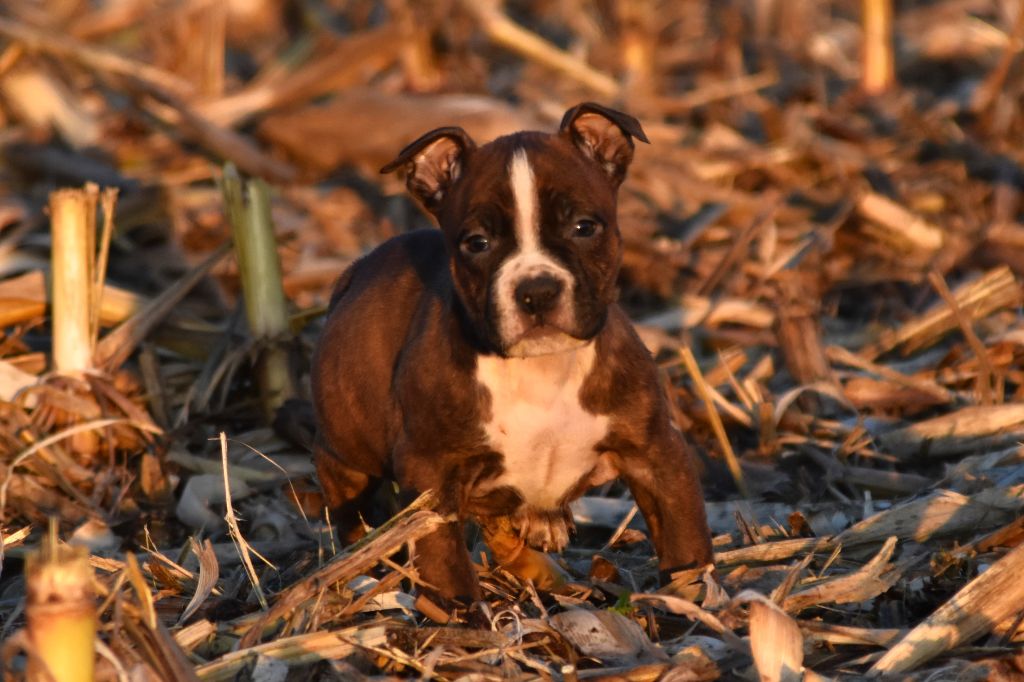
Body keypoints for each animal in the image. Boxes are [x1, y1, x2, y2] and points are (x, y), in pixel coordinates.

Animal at [311, 103, 712, 602]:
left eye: (584, 228)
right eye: (477, 243)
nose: (536, 290)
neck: (541, 369)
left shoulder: (657, 454)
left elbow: (684, 538)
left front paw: (694, 600)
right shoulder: (431, 482)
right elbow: (444, 563)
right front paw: (463, 615)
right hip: (349, 451)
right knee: (352, 509)